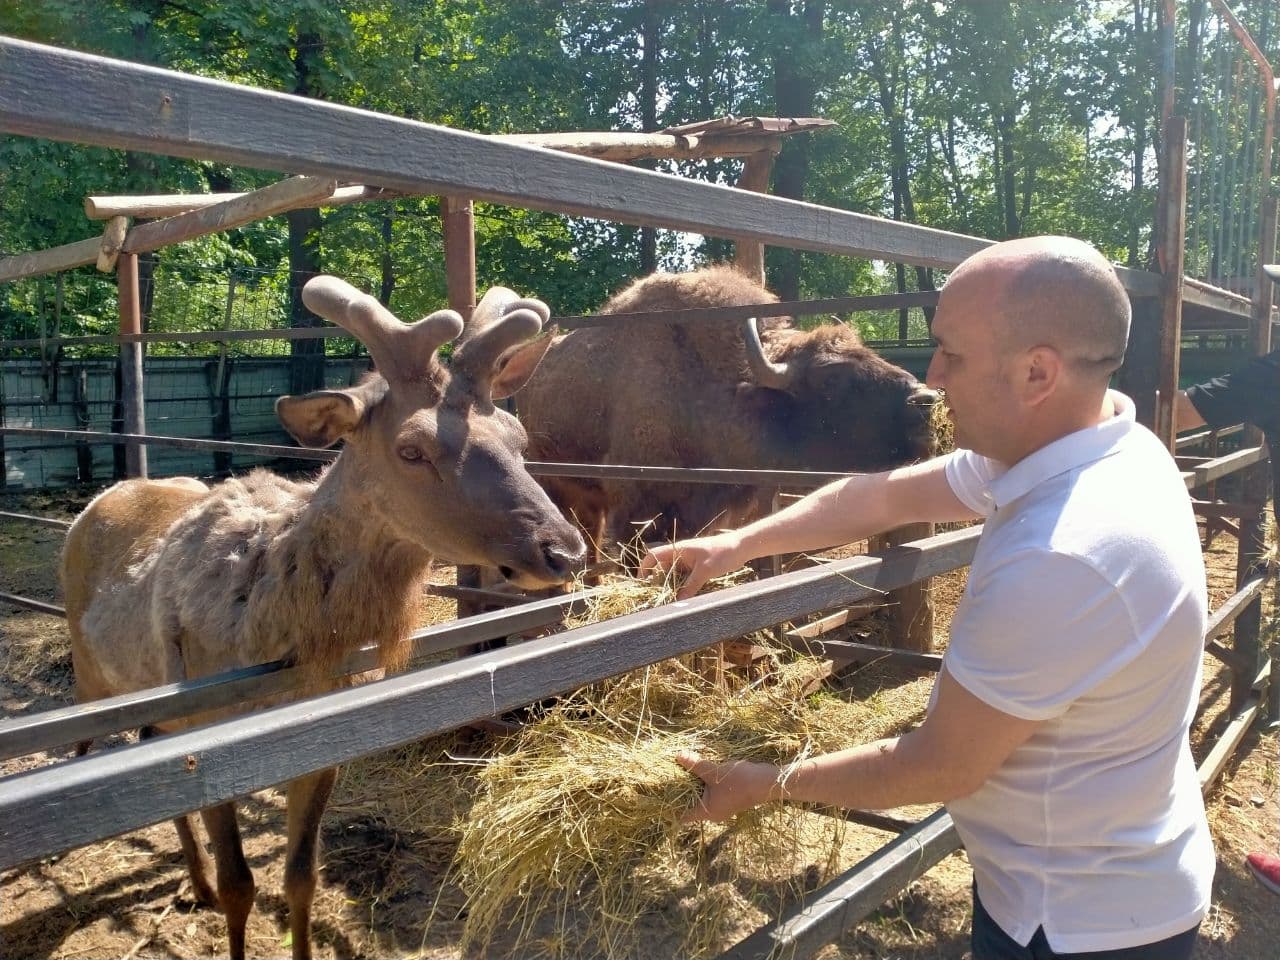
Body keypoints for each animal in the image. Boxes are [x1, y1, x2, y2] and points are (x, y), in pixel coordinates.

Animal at [56, 273, 586, 957]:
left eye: (519, 440)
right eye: (411, 449)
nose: (564, 549)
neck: (280, 648)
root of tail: (100, 498)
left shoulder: (324, 745)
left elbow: (301, 877)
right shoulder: (208, 736)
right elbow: (241, 885)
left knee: (150, 744)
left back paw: (193, 883)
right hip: (92, 672)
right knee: (88, 744)